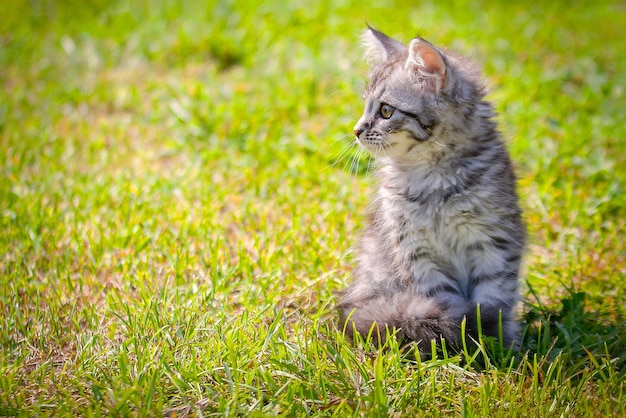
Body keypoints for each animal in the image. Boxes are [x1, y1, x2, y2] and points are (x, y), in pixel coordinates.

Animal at [338, 27, 524, 352]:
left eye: (386, 110)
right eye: (364, 107)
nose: (357, 130)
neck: (433, 179)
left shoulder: (495, 242)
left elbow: (495, 300)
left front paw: (501, 347)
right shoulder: (417, 253)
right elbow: (447, 306)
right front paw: (462, 349)